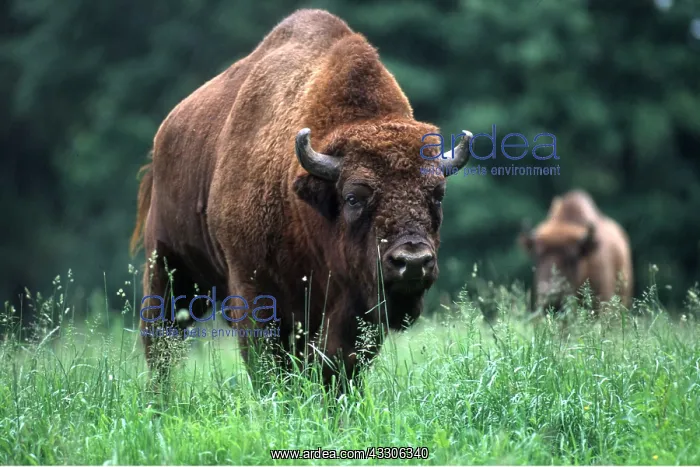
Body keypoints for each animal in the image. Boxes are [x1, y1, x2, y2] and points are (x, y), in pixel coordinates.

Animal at [130, 9, 472, 388]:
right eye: (353, 197)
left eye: (437, 194)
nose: (412, 262)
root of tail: (163, 138)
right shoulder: (256, 291)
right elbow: (268, 360)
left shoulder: (353, 309)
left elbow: (338, 362)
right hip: (166, 267)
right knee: (161, 340)